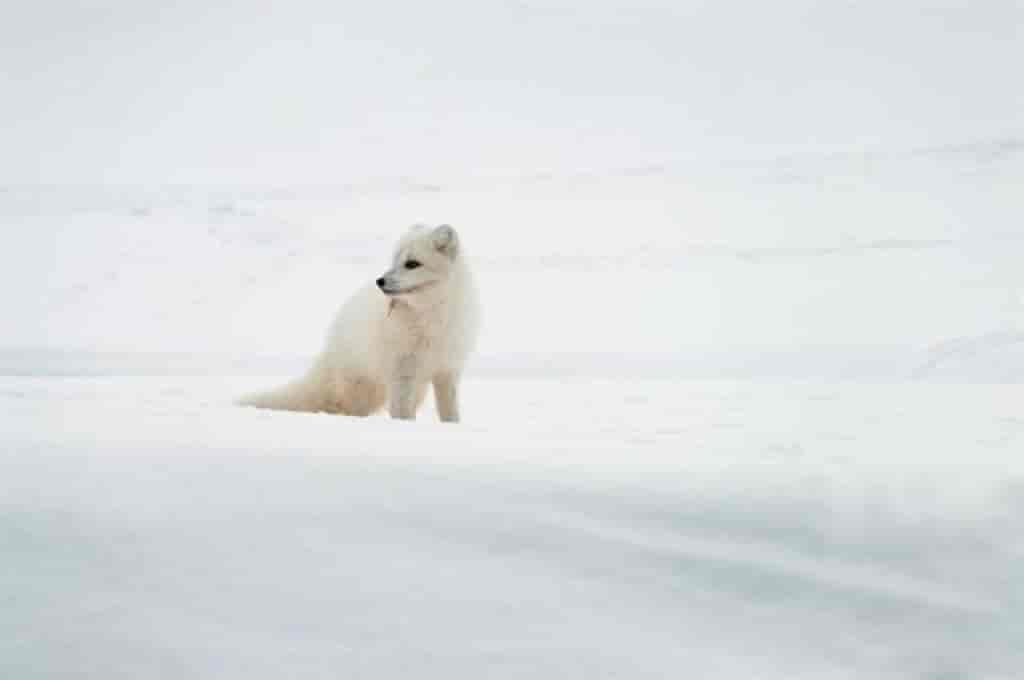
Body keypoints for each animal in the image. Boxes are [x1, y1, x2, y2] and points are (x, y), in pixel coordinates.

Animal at [238, 225, 479, 421]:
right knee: (343, 408)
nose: (380, 281)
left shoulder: (447, 371)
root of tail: (331, 341)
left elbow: (450, 414)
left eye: (412, 264)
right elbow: (402, 415)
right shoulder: (401, 374)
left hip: (412, 389)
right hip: (362, 392)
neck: (431, 317)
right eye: (394, 261)